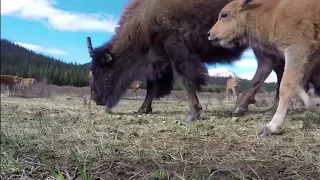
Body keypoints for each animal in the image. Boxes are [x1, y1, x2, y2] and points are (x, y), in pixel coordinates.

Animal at [87, 0, 284, 121]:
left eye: (102, 71)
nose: (96, 99)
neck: (144, 14)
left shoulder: (175, 47)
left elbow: (185, 79)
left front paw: (192, 114)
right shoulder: (159, 59)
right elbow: (153, 85)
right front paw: (143, 109)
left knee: (267, 63)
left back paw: (240, 107)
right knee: (279, 68)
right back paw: (271, 109)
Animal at [208, 0, 320, 136]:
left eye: (224, 15)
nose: (209, 34)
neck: (272, 14)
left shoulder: (296, 50)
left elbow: (286, 86)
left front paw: (271, 127)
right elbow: (297, 84)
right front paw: (316, 105)